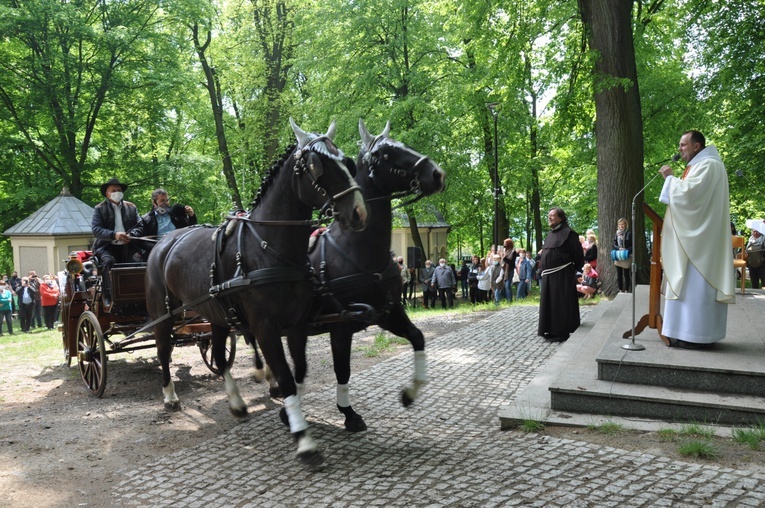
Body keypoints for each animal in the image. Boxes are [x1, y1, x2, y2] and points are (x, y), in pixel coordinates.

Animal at [146, 120, 368, 464]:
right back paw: (170, 396)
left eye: (347, 161)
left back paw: (237, 403)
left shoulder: (296, 324)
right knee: (163, 351)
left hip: (217, 314)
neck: (268, 248)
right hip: (163, 313)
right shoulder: (265, 327)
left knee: (219, 355)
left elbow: (298, 370)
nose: (358, 212)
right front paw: (304, 440)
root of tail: (163, 243)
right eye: (316, 166)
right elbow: (287, 376)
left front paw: (291, 414)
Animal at [282, 121, 444, 430]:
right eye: (385, 154)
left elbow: (417, 337)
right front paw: (348, 412)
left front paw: (411, 392)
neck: (357, 251)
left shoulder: (388, 312)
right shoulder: (341, 327)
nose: (437, 174)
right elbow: (342, 370)